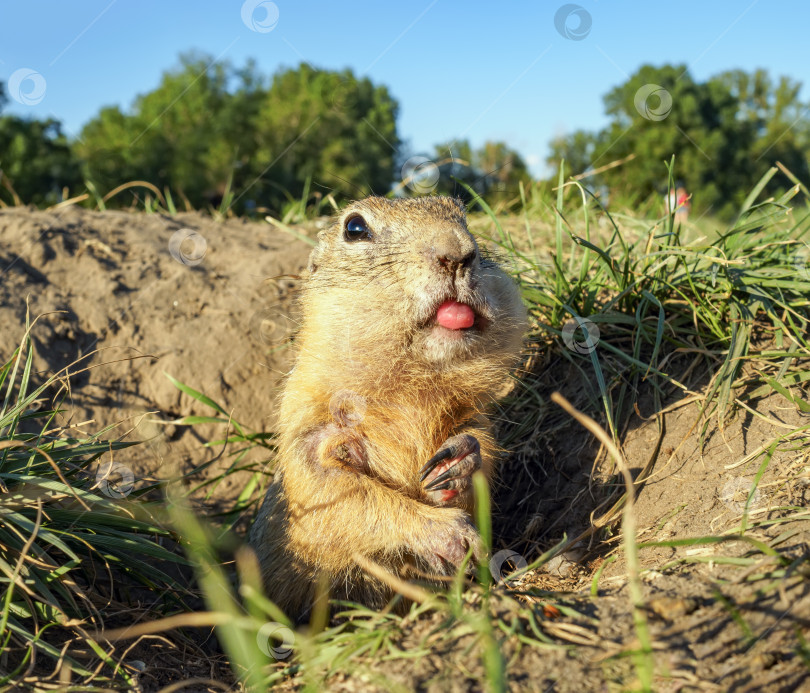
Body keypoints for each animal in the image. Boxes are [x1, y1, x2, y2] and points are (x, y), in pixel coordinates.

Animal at [249, 196, 528, 620]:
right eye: (354, 228)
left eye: (461, 214)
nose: (458, 253)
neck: (408, 383)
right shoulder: (309, 432)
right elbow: (338, 497)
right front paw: (449, 533)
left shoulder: (471, 414)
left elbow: (478, 450)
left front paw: (456, 462)